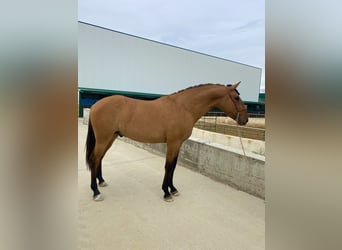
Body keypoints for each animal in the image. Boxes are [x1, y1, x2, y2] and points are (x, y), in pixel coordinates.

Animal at [84, 82, 247, 201]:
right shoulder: (173, 142)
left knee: (99, 159)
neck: (183, 107)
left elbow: (173, 167)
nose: (245, 119)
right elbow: (168, 166)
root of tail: (95, 105)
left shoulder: (178, 144)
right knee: (94, 159)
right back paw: (96, 192)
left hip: (110, 138)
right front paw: (166, 193)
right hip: (103, 139)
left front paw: (173, 189)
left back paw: (101, 181)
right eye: (236, 97)